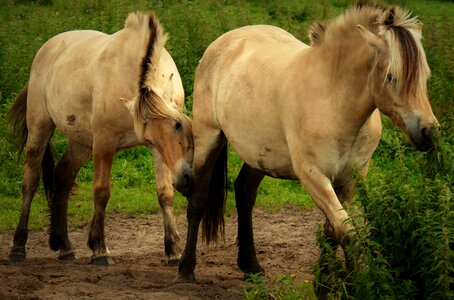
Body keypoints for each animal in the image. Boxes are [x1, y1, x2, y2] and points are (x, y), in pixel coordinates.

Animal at [7, 11, 193, 264]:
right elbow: (101, 191)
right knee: (30, 182)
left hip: (81, 141)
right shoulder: (105, 143)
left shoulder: (157, 152)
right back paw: (18, 247)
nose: (185, 179)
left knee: (63, 176)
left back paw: (65, 247)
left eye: (179, 126)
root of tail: (47, 49)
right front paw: (99, 249)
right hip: (40, 129)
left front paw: (173, 250)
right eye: (150, 140)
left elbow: (165, 193)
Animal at [177, 1, 440, 282]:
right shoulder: (314, 176)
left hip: (259, 154)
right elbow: (346, 232)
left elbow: (332, 231)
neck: (333, 100)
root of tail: (224, 41)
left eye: (425, 76)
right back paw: (185, 269)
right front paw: (352, 283)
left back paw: (251, 265)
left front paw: (325, 282)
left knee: (244, 193)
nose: (429, 132)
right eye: (392, 77)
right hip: (209, 138)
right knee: (198, 200)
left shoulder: (350, 179)